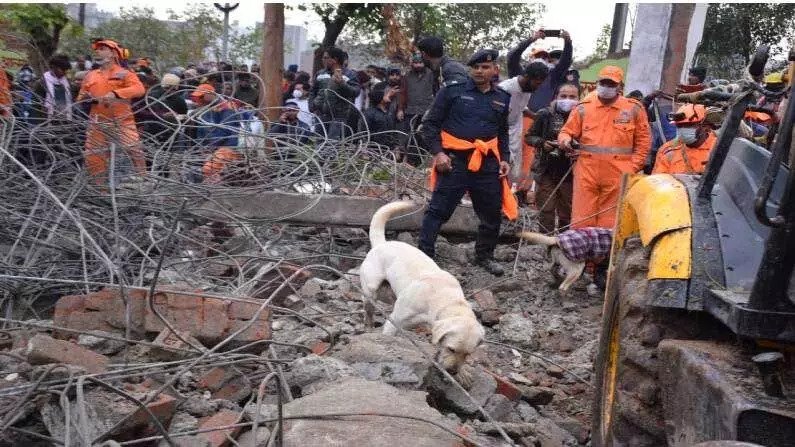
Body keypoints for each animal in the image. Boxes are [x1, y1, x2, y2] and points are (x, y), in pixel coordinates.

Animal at [360, 201, 485, 388]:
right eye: (451, 348)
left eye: (468, 354)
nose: (453, 372)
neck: (447, 300)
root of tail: (382, 243)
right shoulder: (394, 322)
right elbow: (389, 336)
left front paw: (463, 373)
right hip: (371, 290)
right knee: (368, 309)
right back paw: (367, 326)